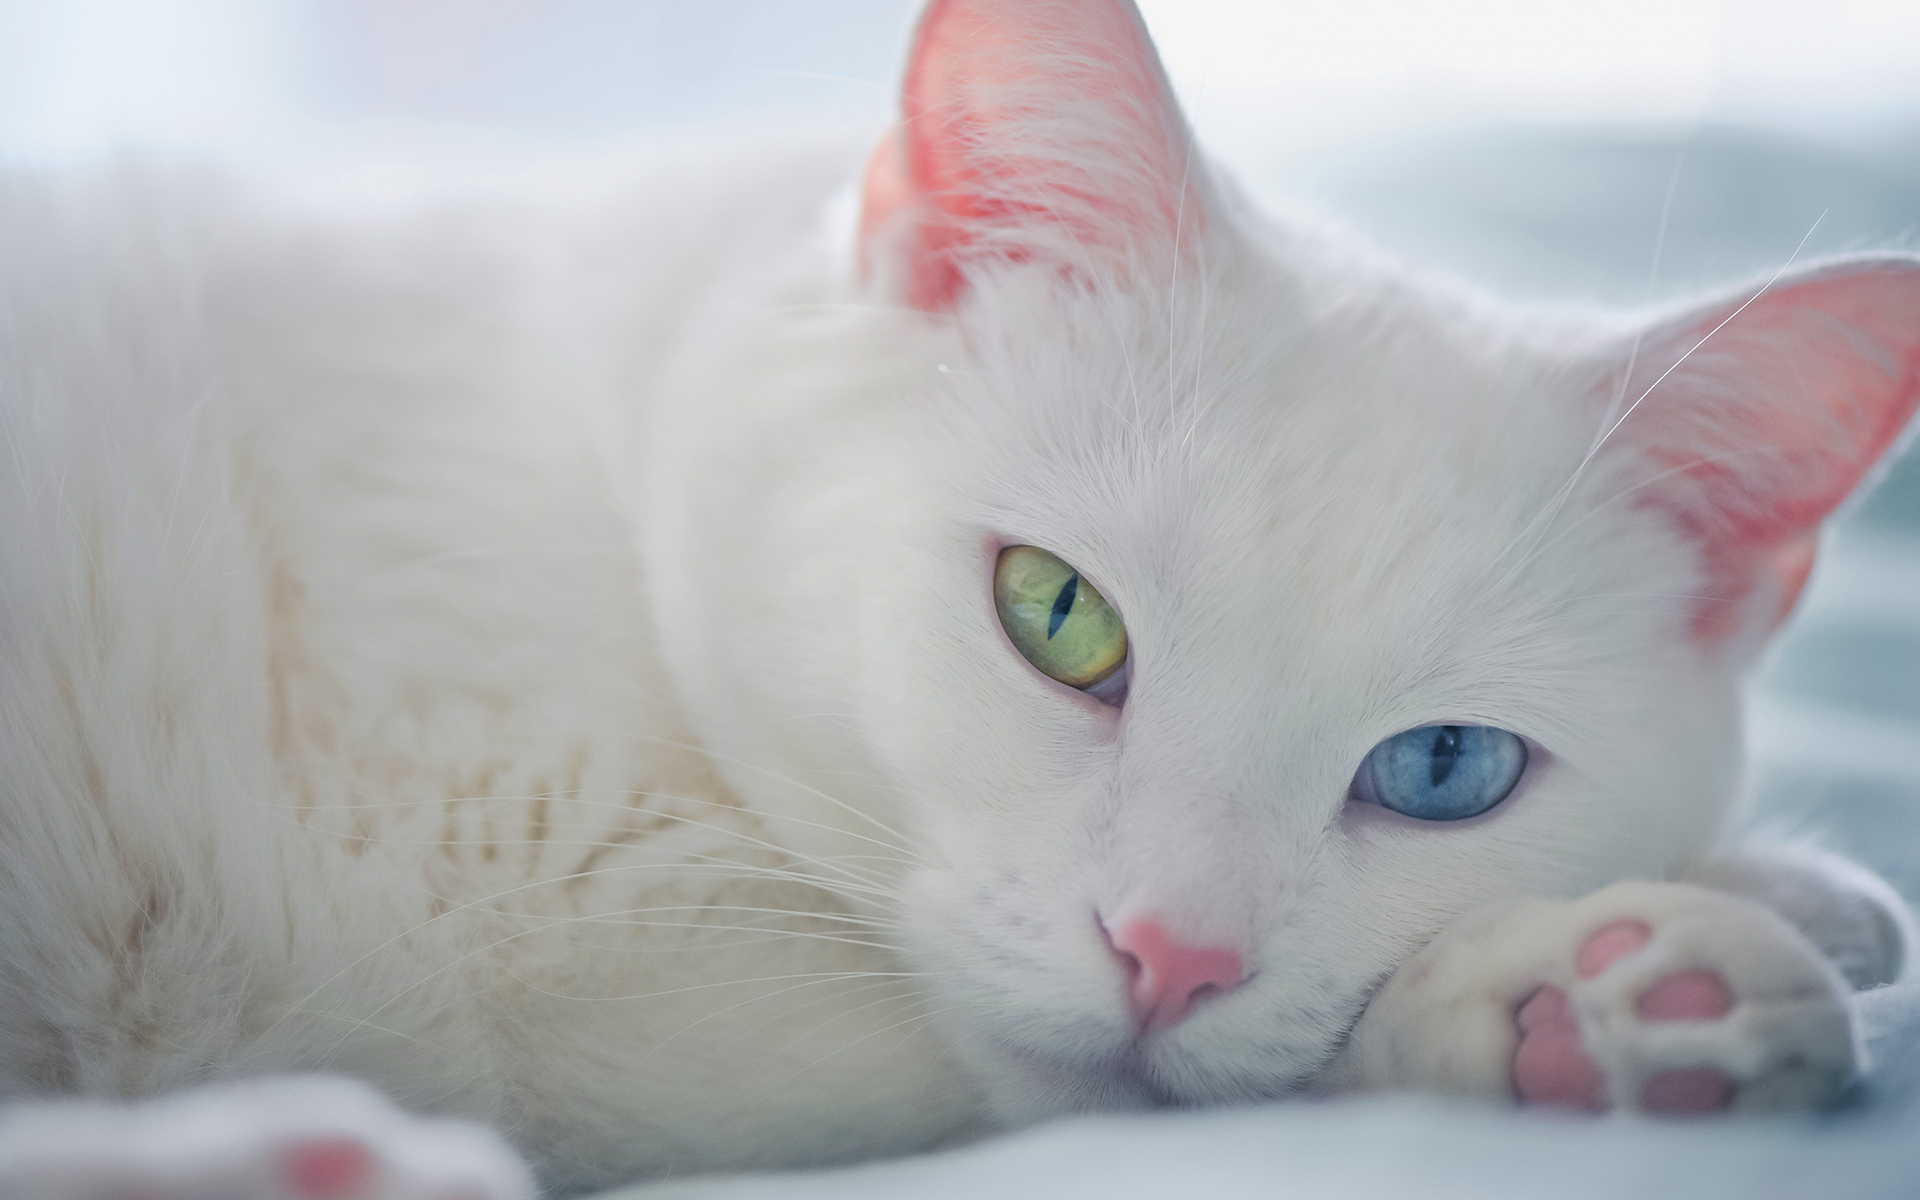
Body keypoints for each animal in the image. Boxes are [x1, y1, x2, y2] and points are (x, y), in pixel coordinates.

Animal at [3, 0, 1920, 1190]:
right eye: (1057, 614)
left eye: (1444, 771)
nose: (1171, 954)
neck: (602, 447)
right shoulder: (552, 951)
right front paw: (1614, 979)